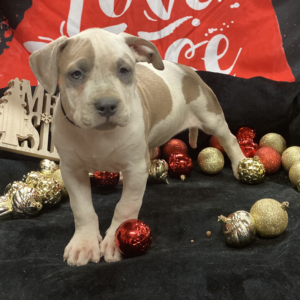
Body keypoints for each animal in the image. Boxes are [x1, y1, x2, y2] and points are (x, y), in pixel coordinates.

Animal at [29, 28, 246, 266]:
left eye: (124, 70)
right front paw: (84, 244)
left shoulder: (135, 167)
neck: (98, 135)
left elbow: (126, 205)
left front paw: (115, 240)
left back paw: (240, 164)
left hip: (211, 117)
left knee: (229, 139)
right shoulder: (72, 171)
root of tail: (187, 68)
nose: (107, 105)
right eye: (76, 74)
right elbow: (82, 208)